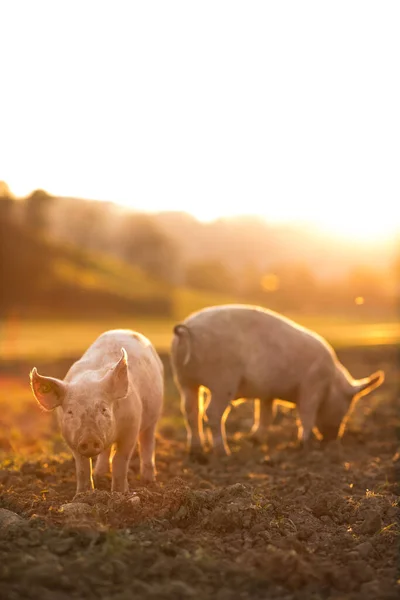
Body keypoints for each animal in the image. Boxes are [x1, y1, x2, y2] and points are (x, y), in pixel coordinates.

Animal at [28, 330, 164, 494]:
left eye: (103, 409)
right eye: (70, 412)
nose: (90, 439)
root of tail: (124, 329)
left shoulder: (131, 427)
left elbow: (120, 460)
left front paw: (120, 493)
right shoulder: (71, 439)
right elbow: (82, 467)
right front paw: (82, 495)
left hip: (153, 417)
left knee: (147, 443)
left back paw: (148, 481)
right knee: (106, 452)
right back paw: (100, 475)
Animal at [171, 302, 384, 458]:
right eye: (347, 406)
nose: (332, 438)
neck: (331, 382)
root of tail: (188, 328)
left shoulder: (267, 393)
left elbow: (267, 415)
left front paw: (256, 440)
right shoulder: (312, 385)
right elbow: (306, 414)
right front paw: (304, 444)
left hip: (184, 380)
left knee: (190, 411)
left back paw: (196, 451)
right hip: (222, 382)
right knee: (212, 413)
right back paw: (223, 452)